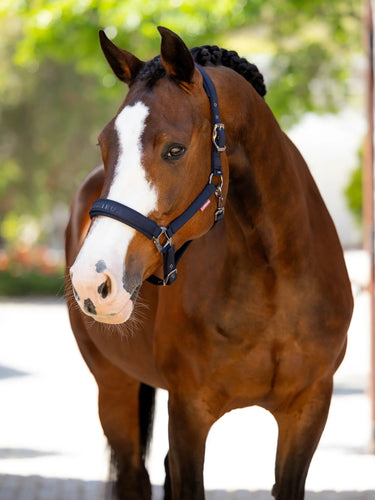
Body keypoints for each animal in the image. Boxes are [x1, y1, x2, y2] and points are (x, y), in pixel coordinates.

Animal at [65, 26, 356, 500]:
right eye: (104, 145)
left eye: (174, 150)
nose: (92, 282)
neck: (274, 281)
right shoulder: (189, 412)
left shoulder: (308, 409)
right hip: (114, 386)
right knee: (134, 474)